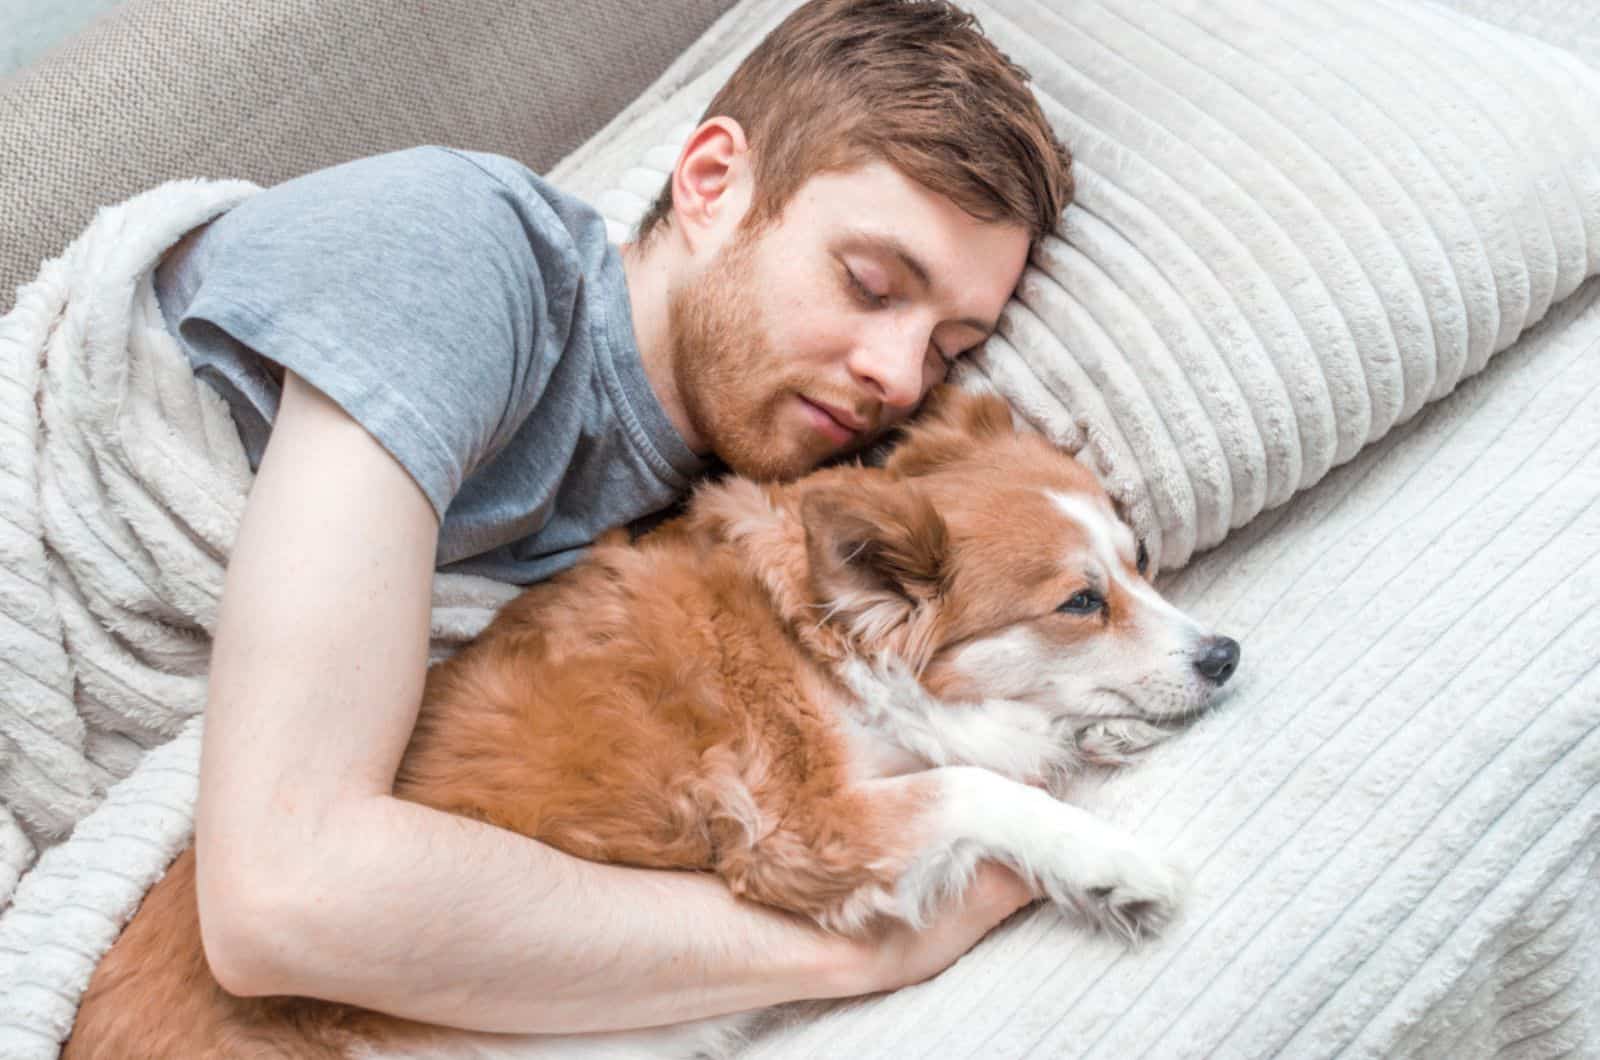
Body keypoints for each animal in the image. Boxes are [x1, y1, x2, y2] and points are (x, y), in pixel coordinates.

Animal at [68, 390, 1241, 1060]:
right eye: (1079, 603)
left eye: (1139, 563)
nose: (1225, 656)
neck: (812, 631)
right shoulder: (800, 829)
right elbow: (971, 783)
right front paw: (1105, 862)